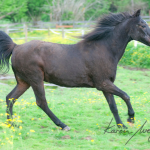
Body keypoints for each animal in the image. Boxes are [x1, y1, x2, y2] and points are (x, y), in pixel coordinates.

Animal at [0, 9, 150, 131]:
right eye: (142, 25)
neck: (104, 49)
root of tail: (16, 47)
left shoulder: (106, 84)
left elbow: (113, 106)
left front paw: (121, 126)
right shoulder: (102, 83)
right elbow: (125, 95)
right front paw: (130, 120)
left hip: (24, 82)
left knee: (10, 98)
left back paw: (11, 124)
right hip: (36, 80)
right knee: (41, 102)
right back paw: (63, 125)